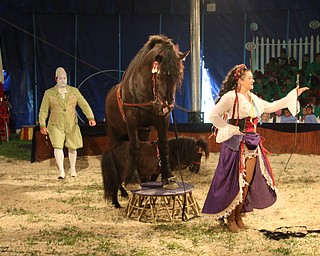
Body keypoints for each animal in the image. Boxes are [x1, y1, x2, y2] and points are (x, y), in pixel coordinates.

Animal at [105, 34, 190, 190]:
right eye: (160, 75)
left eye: (179, 75)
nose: (167, 106)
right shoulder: (132, 121)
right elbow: (134, 148)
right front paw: (133, 180)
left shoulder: (162, 120)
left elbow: (163, 146)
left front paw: (168, 178)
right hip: (114, 134)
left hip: (143, 133)